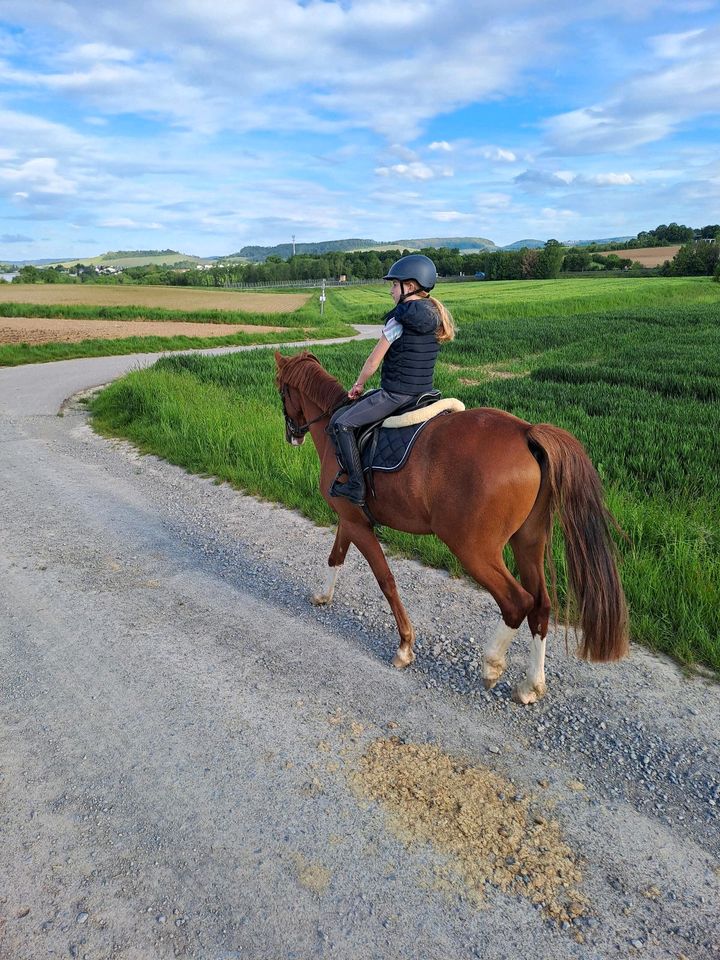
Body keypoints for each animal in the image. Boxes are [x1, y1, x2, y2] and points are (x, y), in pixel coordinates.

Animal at [276, 348, 624, 700]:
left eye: (281, 389)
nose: (292, 434)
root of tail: (526, 432)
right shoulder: (350, 519)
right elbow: (336, 556)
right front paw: (323, 595)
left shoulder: (358, 524)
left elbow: (386, 581)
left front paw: (405, 646)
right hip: (528, 541)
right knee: (540, 605)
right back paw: (531, 685)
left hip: (473, 549)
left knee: (517, 603)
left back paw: (492, 664)